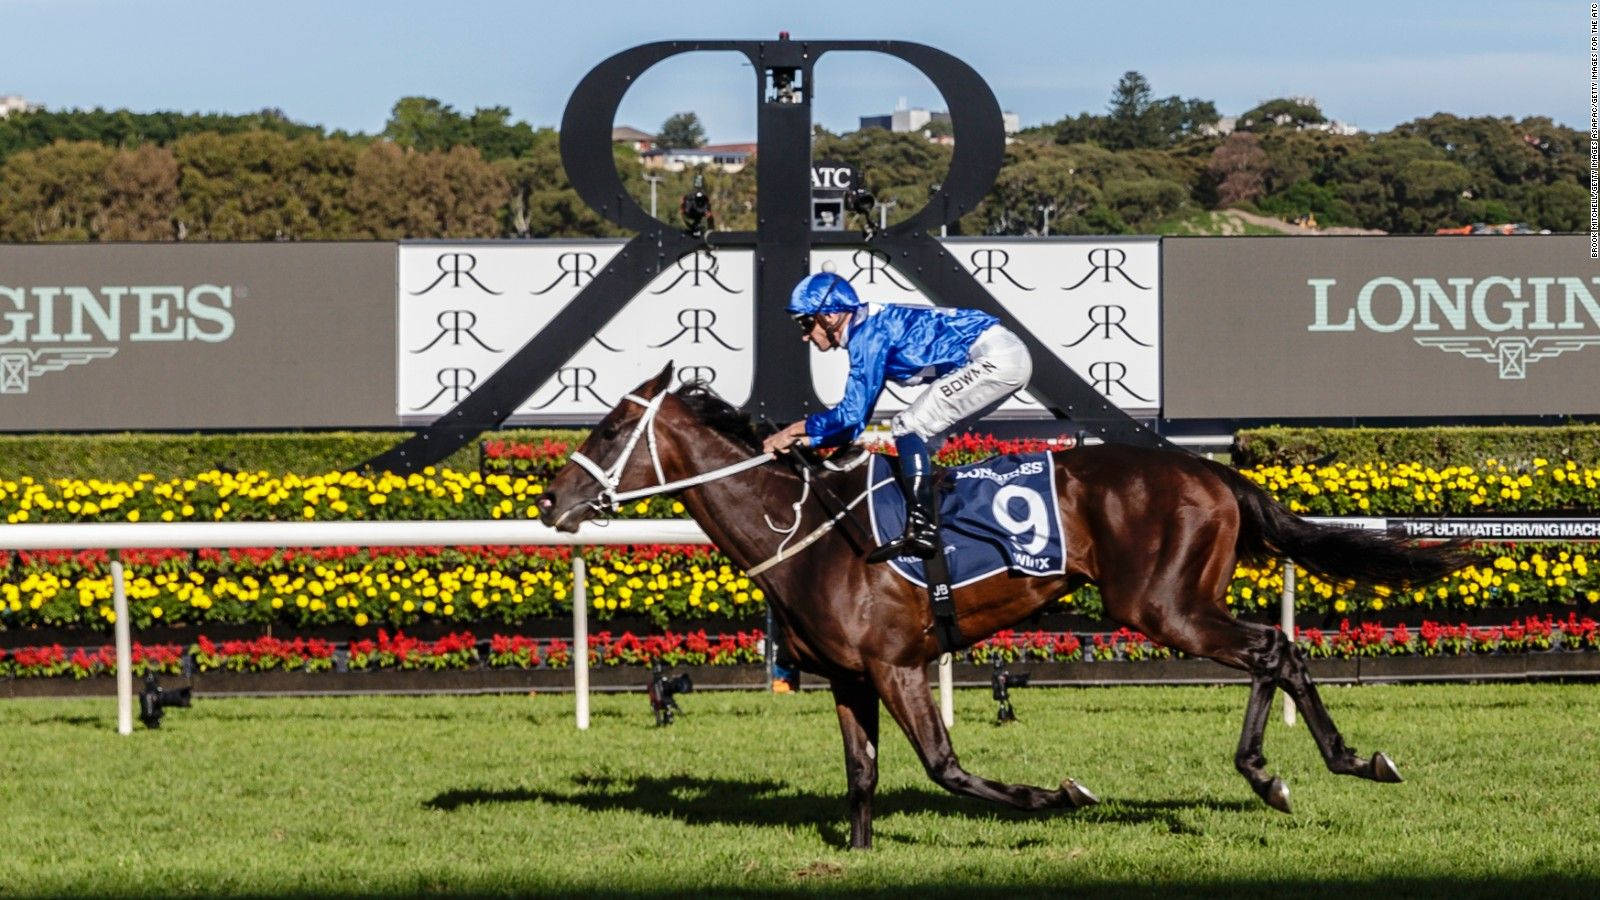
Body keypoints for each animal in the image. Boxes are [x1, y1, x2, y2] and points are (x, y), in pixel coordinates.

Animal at [540, 360, 1472, 845]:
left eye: (609, 431)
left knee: (1273, 650)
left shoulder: (897, 665)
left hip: (1161, 604)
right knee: (1269, 654)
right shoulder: (849, 678)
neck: (807, 531)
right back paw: (1288, 771)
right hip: (1177, 602)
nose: (553, 502)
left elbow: (944, 767)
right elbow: (861, 774)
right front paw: (858, 853)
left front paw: (1059, 796)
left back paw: (1311, 768)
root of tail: (1210, 471)